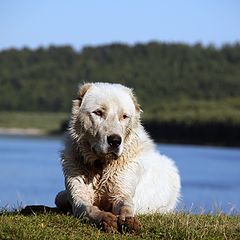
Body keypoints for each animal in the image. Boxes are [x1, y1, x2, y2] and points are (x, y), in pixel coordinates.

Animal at [55, 83, 180, 232]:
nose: (115, 141)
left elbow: (126, 206)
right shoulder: (79, 195)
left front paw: (129, 220)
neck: (101, 167)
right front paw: (105, 218)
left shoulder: (121, 192)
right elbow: (89, 209)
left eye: (124, 116)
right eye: (98, 112)